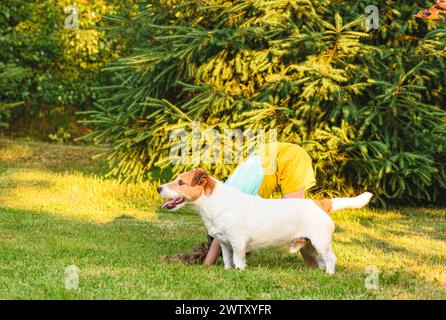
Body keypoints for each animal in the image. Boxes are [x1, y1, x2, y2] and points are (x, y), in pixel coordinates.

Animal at [157, 168, 372, 276]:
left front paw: (239, 273)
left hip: (321, 242)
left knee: (331, 258)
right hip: (310, 245)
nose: (159, 188)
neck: (214, 203)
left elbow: (238, 261)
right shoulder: (225, 244)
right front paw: (227, 272)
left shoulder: (238, 243)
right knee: (321, 260)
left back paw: (329, 275)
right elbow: (227, 260)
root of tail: (320, 203)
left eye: (181, 182)